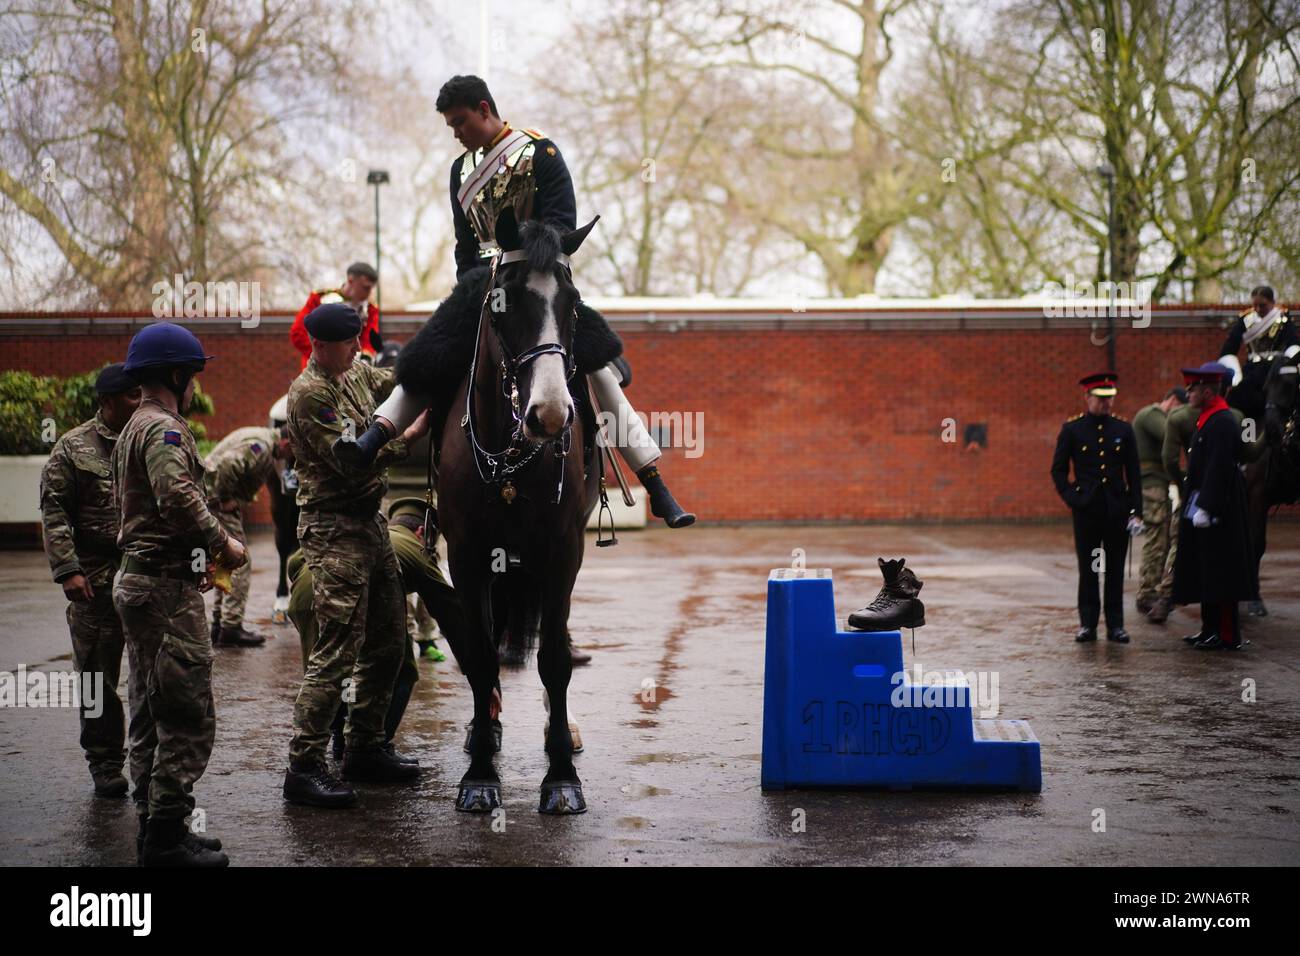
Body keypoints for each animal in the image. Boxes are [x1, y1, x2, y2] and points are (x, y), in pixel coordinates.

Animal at [434, 209, 600, 816]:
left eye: (572, 302)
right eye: (502, 301)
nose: (550, 414)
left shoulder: (563, 552)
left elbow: (554, 659)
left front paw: (562, 777)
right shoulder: (467, 556)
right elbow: (481, 657)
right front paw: (481, 773)